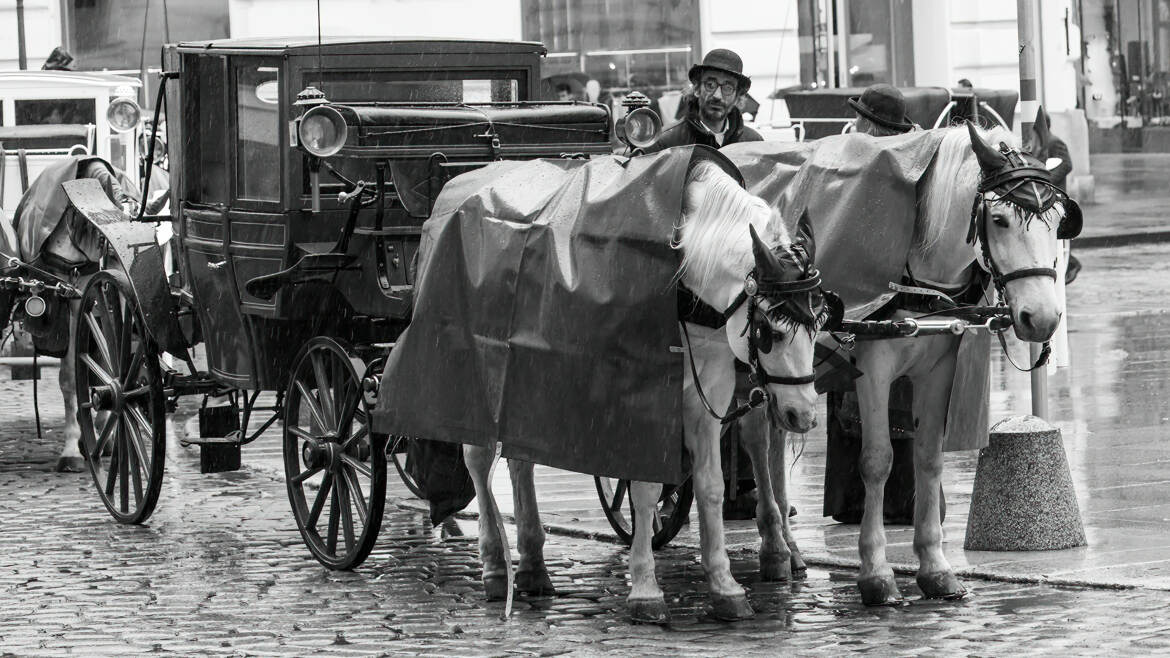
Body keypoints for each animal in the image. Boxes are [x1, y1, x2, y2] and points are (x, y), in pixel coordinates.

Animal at [460, 159, 828, 618]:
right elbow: (646, 488)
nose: (804, 414)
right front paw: (645, 589)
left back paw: (531, 565)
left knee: (520, 460)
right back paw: (495, 565)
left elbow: (710, 485)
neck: (682, 280)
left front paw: (724, 585)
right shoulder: (636, 395)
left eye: (820, 323)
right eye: (771, 332)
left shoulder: (711, 388)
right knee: (477, 459)